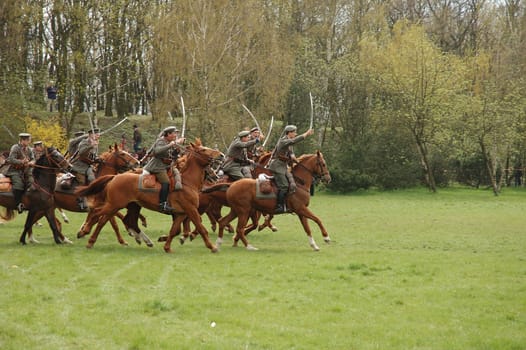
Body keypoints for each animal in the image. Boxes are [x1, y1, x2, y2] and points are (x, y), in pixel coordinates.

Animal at [75, 139, 224, 252]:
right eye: (203, 150)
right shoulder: (191, 210)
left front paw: (167, 247)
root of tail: (115, 177)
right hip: (114, 205)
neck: (187, 182)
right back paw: (85, 233)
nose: (222, 155)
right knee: (97, 215)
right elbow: (201, 228)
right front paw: (212, 247)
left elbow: (174, 230)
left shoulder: (181, 213)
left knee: (109, 220)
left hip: (125, 206)